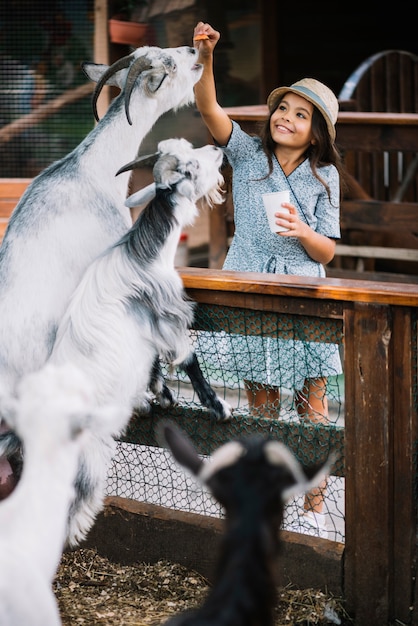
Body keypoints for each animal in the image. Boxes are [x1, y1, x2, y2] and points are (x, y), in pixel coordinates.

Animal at [47, 138, 232, 544]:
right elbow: (187, 358)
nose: (217, 149)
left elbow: (152, 363)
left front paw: (160, 396)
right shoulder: (168, 315)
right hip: (88, 453)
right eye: (191, 166)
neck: (144, 254)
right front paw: (218, 407)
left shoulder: (143, 335)